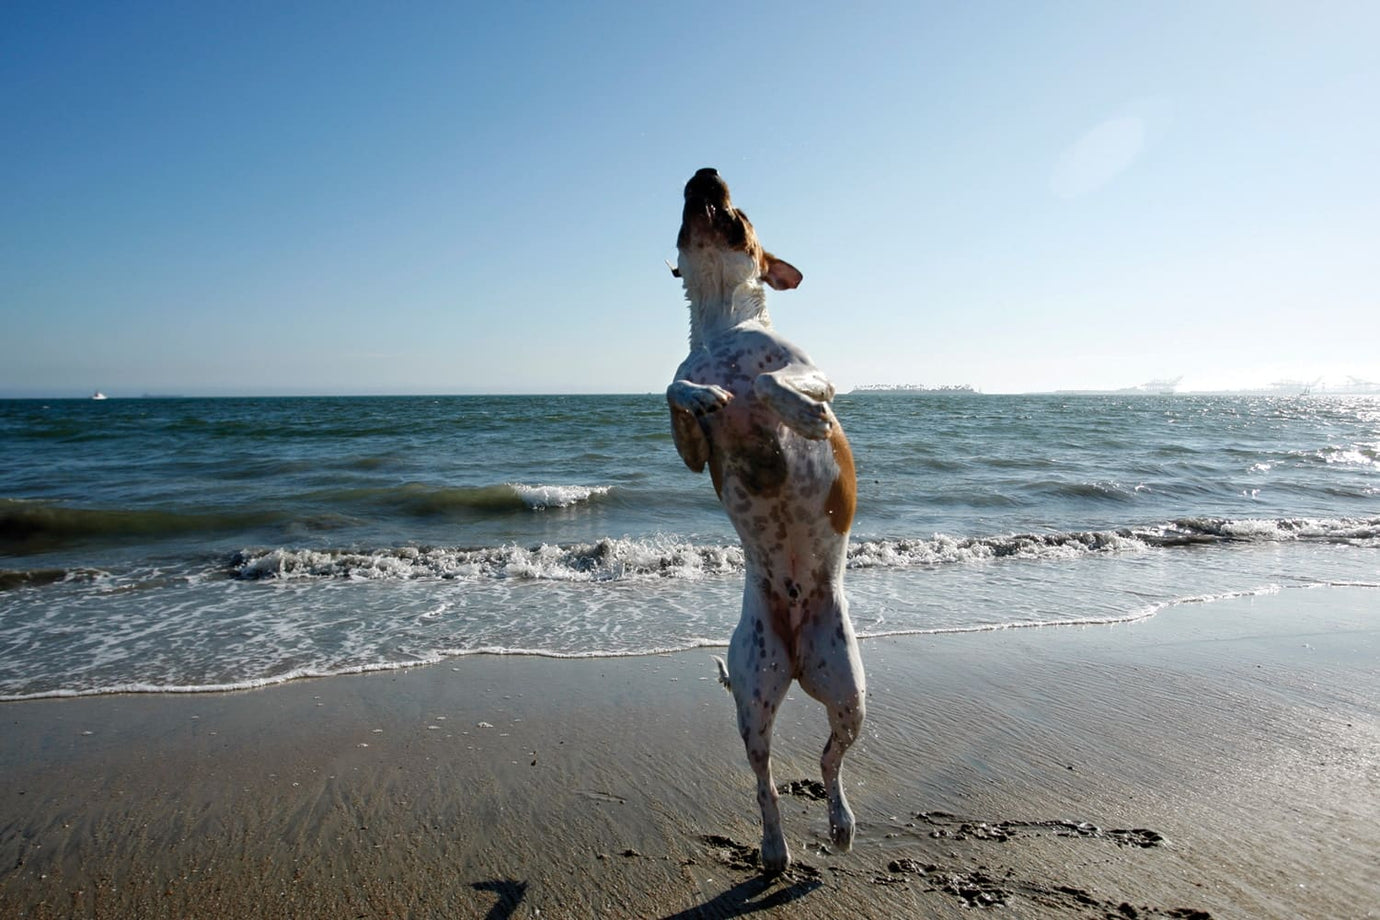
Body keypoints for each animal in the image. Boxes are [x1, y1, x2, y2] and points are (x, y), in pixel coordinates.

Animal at [665, 168, 861, 877]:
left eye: (741, 213)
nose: (703, 171)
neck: (722, 328)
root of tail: (800, 654)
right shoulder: (691, 449)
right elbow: (675, 390)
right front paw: (706, 396)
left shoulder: (811, 370)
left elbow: (779, 383)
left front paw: (802, 417)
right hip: (753, 696)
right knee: (768, 780)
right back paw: (776, 847)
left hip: (849, 691)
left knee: (831, 762)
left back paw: (839, 823)